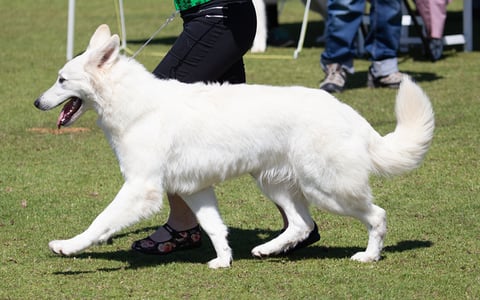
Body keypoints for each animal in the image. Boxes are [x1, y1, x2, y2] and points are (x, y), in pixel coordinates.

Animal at [35, 24, 434, 268]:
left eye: (62, 80)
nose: (37, 102)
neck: (131, 102)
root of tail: (348, 113)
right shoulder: (194, 188)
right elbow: (214, 228)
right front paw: (224, 260)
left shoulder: (140, 188)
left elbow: (100, 222)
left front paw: (68, 246)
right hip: (276, 184)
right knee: (302, 225)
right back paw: (268, 248)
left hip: (328, 187)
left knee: (376, 215)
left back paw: (369, 256)